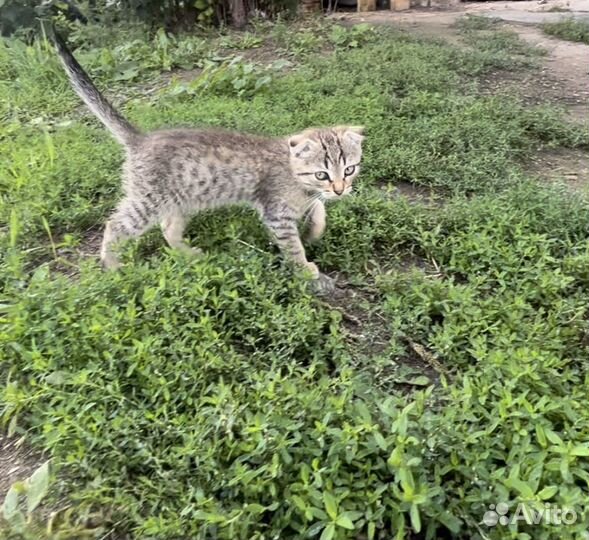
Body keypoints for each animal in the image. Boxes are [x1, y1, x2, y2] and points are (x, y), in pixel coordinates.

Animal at [49, 29, 362, 284]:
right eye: (322, 173)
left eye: (349, 170)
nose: (340, 190)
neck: (300, 183)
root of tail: (140, 139)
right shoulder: (276, 214)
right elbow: (292, 246)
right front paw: (305, 267)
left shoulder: (309, 199)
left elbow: (319, 211)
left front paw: (314, 231)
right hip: (147, 201)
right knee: (115, 225)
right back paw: (113, 266)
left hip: (182, 198)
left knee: (168, 228)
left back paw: (188, 254)